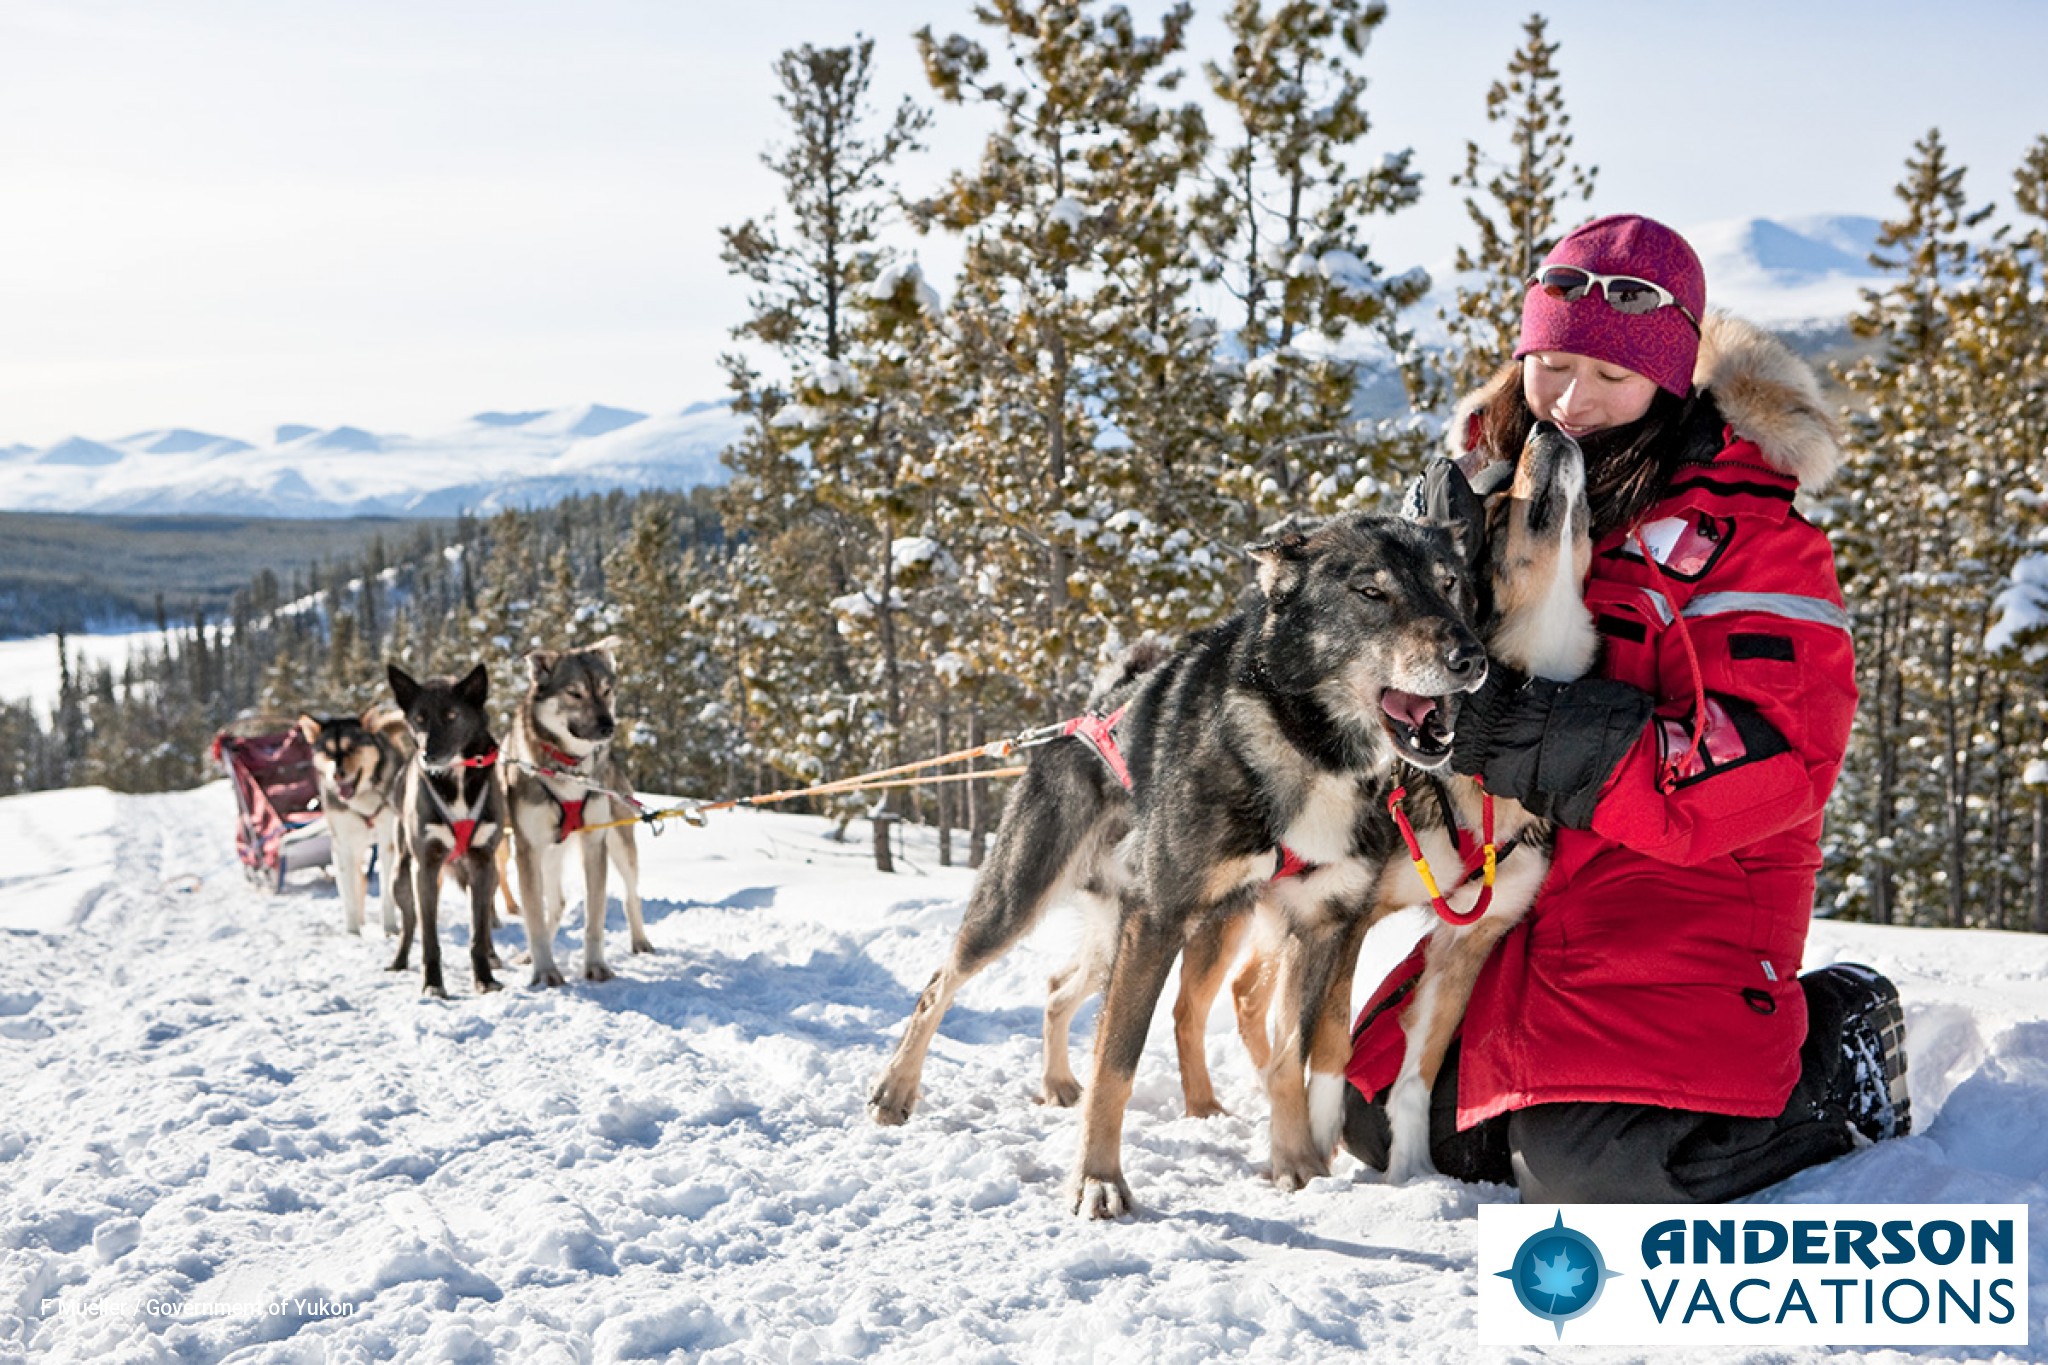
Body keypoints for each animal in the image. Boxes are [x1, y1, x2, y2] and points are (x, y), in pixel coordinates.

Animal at [296, 703, 411, 941]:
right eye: (328, 751)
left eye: (351, 748)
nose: (337, 774)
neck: (361, 797)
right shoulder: (343, 846)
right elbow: (349, 894)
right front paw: (352, 933)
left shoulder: (388, 844)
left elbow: (386, 893)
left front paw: (390, 928)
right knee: (358, 881)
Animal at [385, 667, 509, 998]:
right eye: (419, 718)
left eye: (452, 715)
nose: (428, 754)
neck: (456, 778)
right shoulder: (425, 867)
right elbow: (429, 938)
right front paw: (433, 984)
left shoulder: (482, 862)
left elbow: (478, 932)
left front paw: (485, 978)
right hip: (402, 877)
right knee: (409, 924)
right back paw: (399, 961)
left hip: (490, 876)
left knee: (486, 919)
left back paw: (493, 954)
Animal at [503, 634, 647, 986]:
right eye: (575, 692)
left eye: (606, 691)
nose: (608, 727)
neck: (568, 767)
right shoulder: (528, 850)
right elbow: (534, 919)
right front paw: (545, 971)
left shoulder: (594, 844)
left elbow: (594, 918)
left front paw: (595, 966)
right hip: (545, 856)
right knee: (553, 905)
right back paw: (530, 956)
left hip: (619, 844)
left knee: (631, 895)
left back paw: (641, 941)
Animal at [864, 511, 1490, 1219]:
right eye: (1370, 591)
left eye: (1449, 584)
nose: (1471, 658)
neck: (1305, 749)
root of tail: (1090, 712)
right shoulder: (1160, 918)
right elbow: (1117, 1062)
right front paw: (1098, 1180)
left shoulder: (1319, 928)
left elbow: (1289, 1056)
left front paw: (1296, 1161)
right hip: (1029, 900)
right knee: (941, 982)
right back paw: (895, 1090)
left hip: (1132, 934)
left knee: (1056, 988)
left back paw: (1066, 1083)